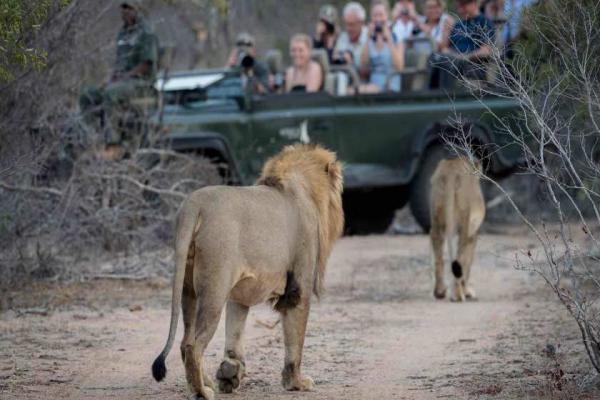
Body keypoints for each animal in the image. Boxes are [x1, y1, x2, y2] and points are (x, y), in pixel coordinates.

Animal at [152, 145, 344, 400]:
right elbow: (295, 340)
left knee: (184, 342)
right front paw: (296, 382)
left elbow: (235, 333)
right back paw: (202, 392)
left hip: (187, 288)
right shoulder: (299, 287)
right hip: (215, 287)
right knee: (193, 345)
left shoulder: (240, 293)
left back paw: (206, 383)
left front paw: (230, 373)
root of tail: (194, 204)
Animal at [428, 156, 486, 300]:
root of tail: (451, 173)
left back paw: (440, 292)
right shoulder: (473, 233)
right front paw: (468, 292)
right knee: (460, 257)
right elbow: (468, 262)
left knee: (438, 253)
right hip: (465, 222)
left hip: (436, 218)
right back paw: (458, 295)